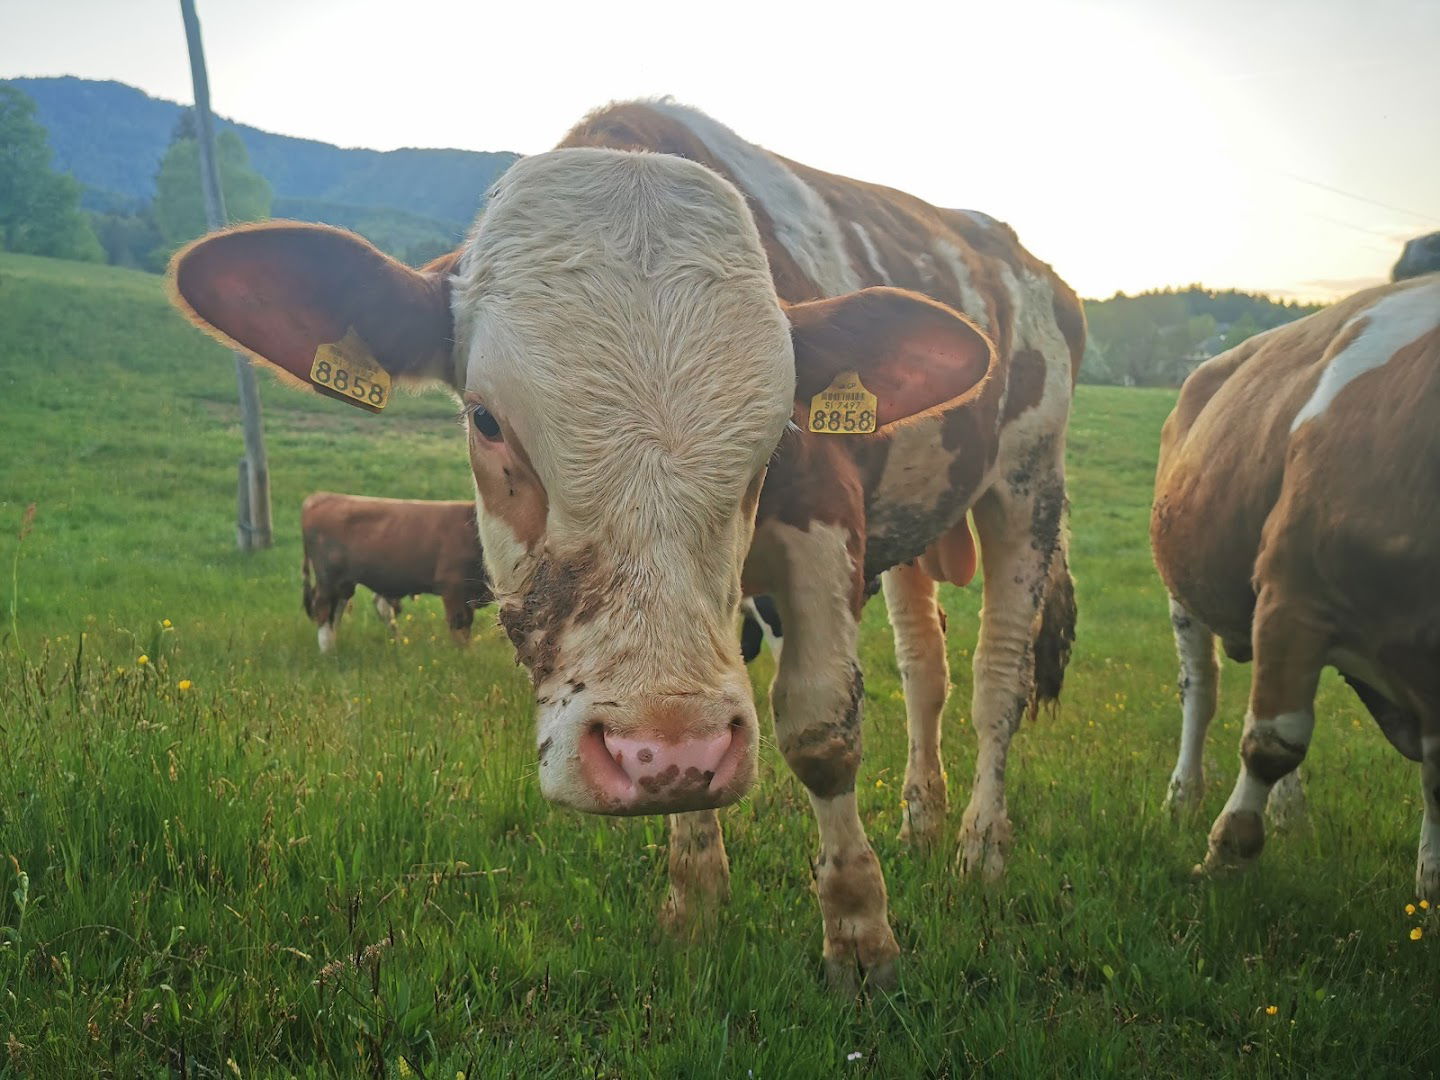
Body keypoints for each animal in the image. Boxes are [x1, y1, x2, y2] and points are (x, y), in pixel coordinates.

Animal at [298, 489, 489, 650]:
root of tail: (322, 496)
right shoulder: (452, 587)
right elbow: (460, 628)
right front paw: (463, 656)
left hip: (344, 584)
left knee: (336, 613)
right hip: (328, 580)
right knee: (323, 611)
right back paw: (327, 654)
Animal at [1152, 272, 1440, 904]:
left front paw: (1432, 882)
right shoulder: (1293, 591)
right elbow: (1272, 742)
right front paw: (1225, 854)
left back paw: (1289, 815)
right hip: (1186, 587)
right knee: (1201, 691)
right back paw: (1183, 796)